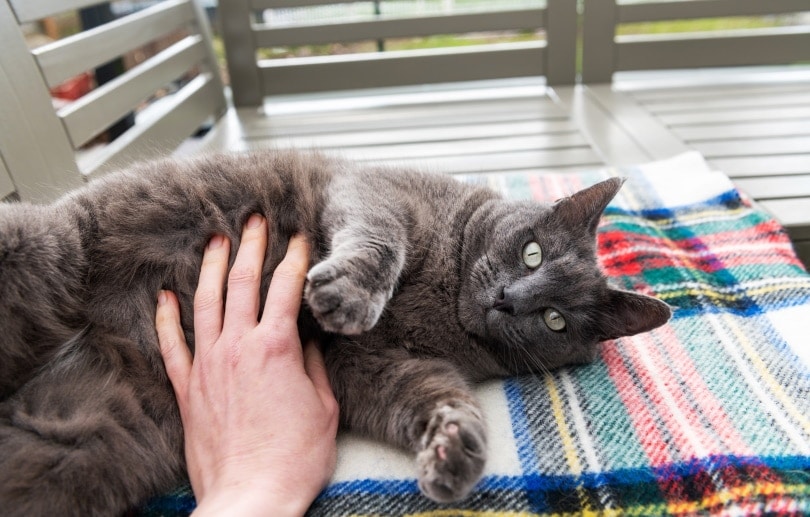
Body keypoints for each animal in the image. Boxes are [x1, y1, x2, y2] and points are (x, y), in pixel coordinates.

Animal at [1, 148, 668, 512]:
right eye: (531, 254)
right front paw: (347, 296)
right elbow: (381, 237)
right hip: (51, 242)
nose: (509, 299)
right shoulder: (378, 192)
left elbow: (425, 393)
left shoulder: (371, 365)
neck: (447, 295)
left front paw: (456, 448)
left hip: (82, 451)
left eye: (555, 319)